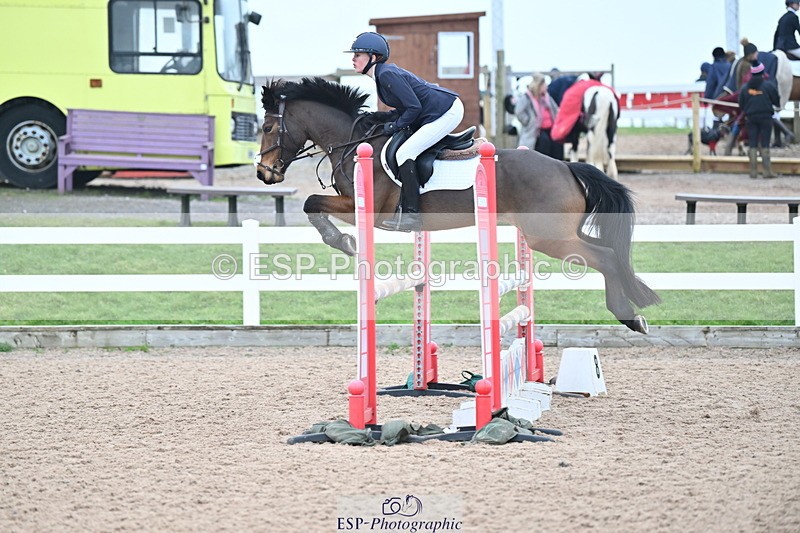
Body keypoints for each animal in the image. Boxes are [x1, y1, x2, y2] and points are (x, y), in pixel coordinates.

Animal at [255, 77, 660, 333]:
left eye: (268, 128)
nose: (263, 173)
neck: (353, 143)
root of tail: (566, 166)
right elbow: (313, 204)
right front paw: (342, 241)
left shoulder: (362, 207)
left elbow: (311, 203)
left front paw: (344, 242)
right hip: (557, 234)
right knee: (609, 254)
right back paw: (632, 314)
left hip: (550, 238)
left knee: (606, 257)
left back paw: (629, 317)